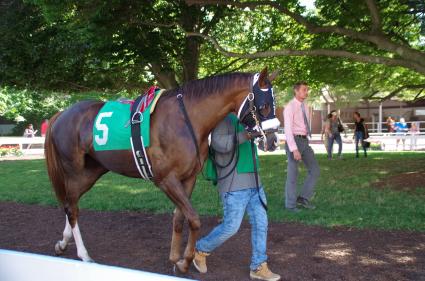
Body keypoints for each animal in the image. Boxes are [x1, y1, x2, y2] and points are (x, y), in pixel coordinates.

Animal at [45, 66, 278, 272]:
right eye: (265, 105)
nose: (273, 141)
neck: (185, 119)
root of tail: (61, 114)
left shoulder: (188, 178)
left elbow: (179, 217)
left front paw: (175, 257)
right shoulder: (166, 179)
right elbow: (194, 219)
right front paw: (184, 263)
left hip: (92, 171)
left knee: (70, 203)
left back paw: (63, 242)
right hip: (74, 171)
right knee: (71, 207)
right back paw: (84, 255)